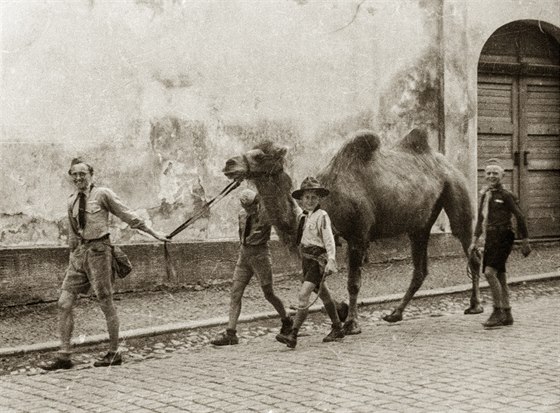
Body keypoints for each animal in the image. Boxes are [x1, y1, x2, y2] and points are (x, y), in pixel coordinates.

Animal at [223, 129, 482, 334]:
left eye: (259, 155)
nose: (229, 164)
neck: (327, 201)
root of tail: (447, 162)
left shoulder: (358, 236)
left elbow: (353, 283)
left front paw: (351, 323)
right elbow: (317, 283)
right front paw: (341, 311)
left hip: (455, 188)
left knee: (468, 244)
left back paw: (475, 305)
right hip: (419, 224)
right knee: (420, 268)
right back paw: (395, 314)